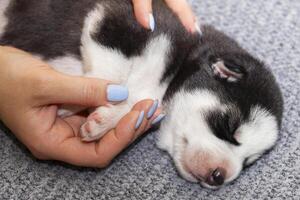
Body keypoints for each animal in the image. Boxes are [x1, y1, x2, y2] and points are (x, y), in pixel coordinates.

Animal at [1, 0, 284, 188]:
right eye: (229, 127)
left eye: (248, 161)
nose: (220, 178)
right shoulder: (119, 21)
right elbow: (110, 78)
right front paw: (86, 102)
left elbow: (134, 98)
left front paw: (105, 118)